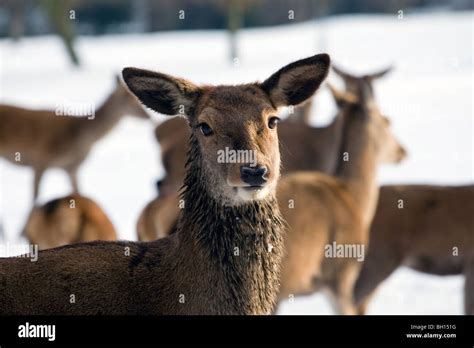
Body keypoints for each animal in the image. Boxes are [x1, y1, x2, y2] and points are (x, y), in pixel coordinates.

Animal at [0, 76, 150, 201]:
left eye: (137, 99)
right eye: (130, 101)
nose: (148, 117)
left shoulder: (72, 168)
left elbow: (78, 193)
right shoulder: (41, 160)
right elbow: (35, 198)